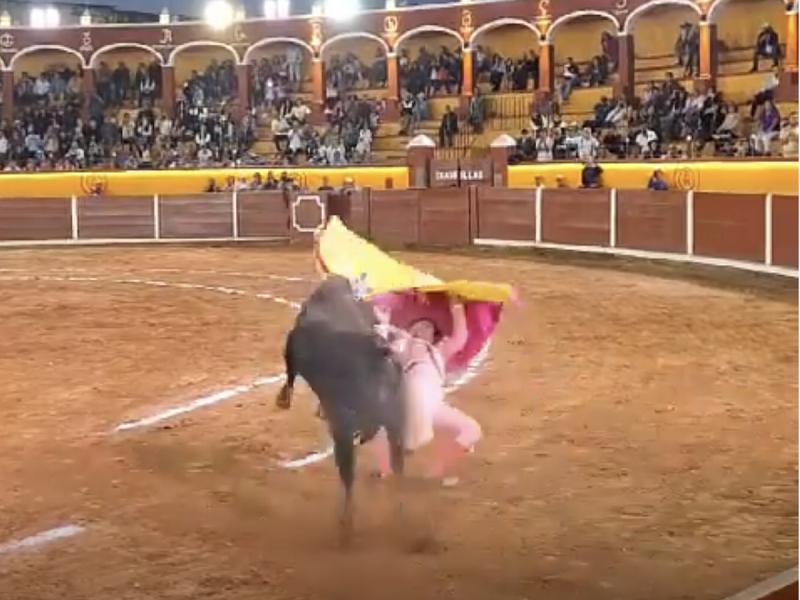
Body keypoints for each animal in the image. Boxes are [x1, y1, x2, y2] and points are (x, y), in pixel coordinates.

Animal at [276, 276, 412, 544]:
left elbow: (289, 373)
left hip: (344, 428)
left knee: (348, 474)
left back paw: (347, 525)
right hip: (394, 424)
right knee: (398, 467)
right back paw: (400, 515)